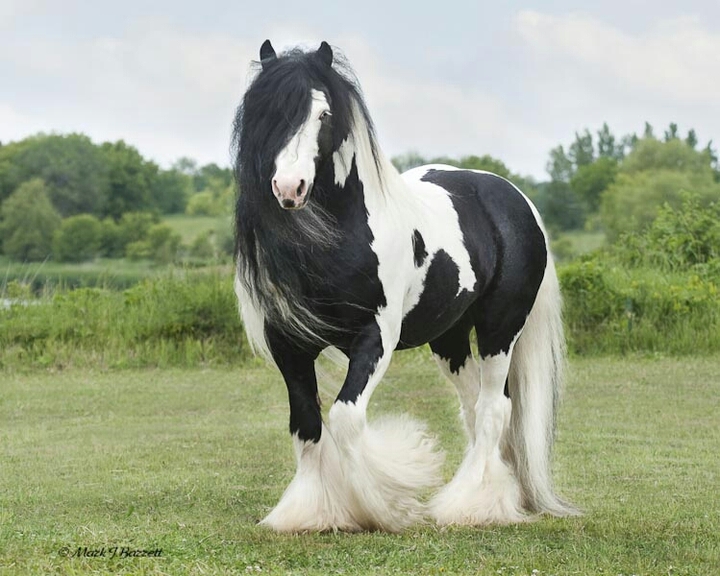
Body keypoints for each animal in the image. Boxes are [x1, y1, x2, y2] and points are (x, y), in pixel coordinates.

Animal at [232, 40, 578, 533]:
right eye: (263, 112)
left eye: (323, 114)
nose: (289, 187)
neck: (340, 237)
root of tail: (515, 198)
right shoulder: (288, 344)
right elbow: (307, 425)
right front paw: (310, 512)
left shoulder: (375, 336)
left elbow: (345, 418)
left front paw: (383, 506)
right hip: (450, 338)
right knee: (474, 406)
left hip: (500, 327)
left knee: (494, 408)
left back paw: (470, 505)